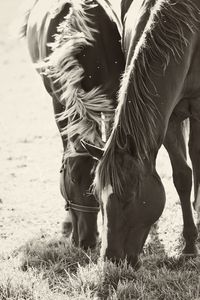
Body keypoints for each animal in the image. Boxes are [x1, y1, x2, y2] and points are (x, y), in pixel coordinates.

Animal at [82, 0, 200, 268]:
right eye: (97, 197)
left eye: (128, 197)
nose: (111, 259)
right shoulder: (168, 120)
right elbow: (182, 177)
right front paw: (190, 244)